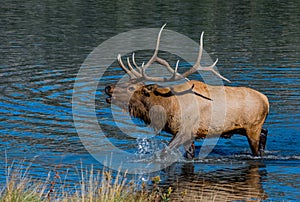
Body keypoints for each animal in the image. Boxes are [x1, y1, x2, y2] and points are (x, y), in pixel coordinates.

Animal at [105, 24, 270, 158]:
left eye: (131, 88)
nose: (107, 88)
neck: (167, 107)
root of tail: (266, 101)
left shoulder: (185, 131)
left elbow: (162, 153)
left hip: (252, 127)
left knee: (257, 145)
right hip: (243, 128)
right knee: (265, 132)